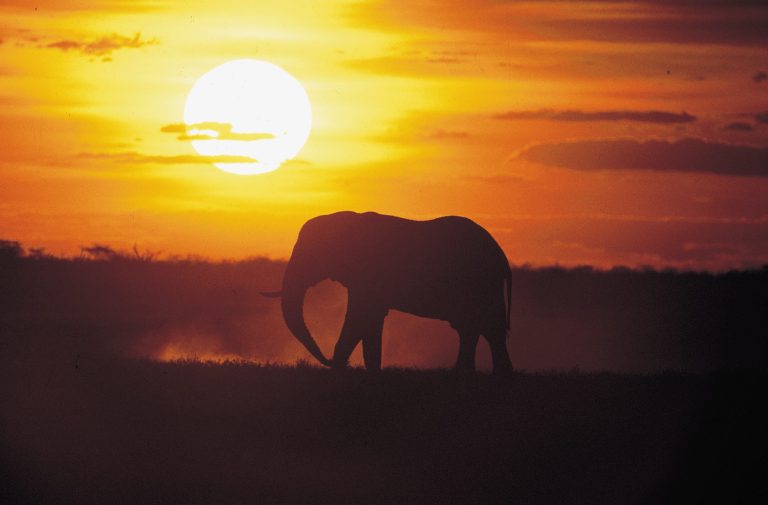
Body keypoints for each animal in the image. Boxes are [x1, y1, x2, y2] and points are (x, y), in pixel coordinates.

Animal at [263, 211, 513, 374]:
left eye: (310, 254)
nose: (328, 361)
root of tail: (501, 257)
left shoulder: (369, 275)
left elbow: (359, 317)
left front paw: (340, 368)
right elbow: (370, 319)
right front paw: (369, 371)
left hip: (480, 282)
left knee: (483, 327)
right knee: (479, 329)